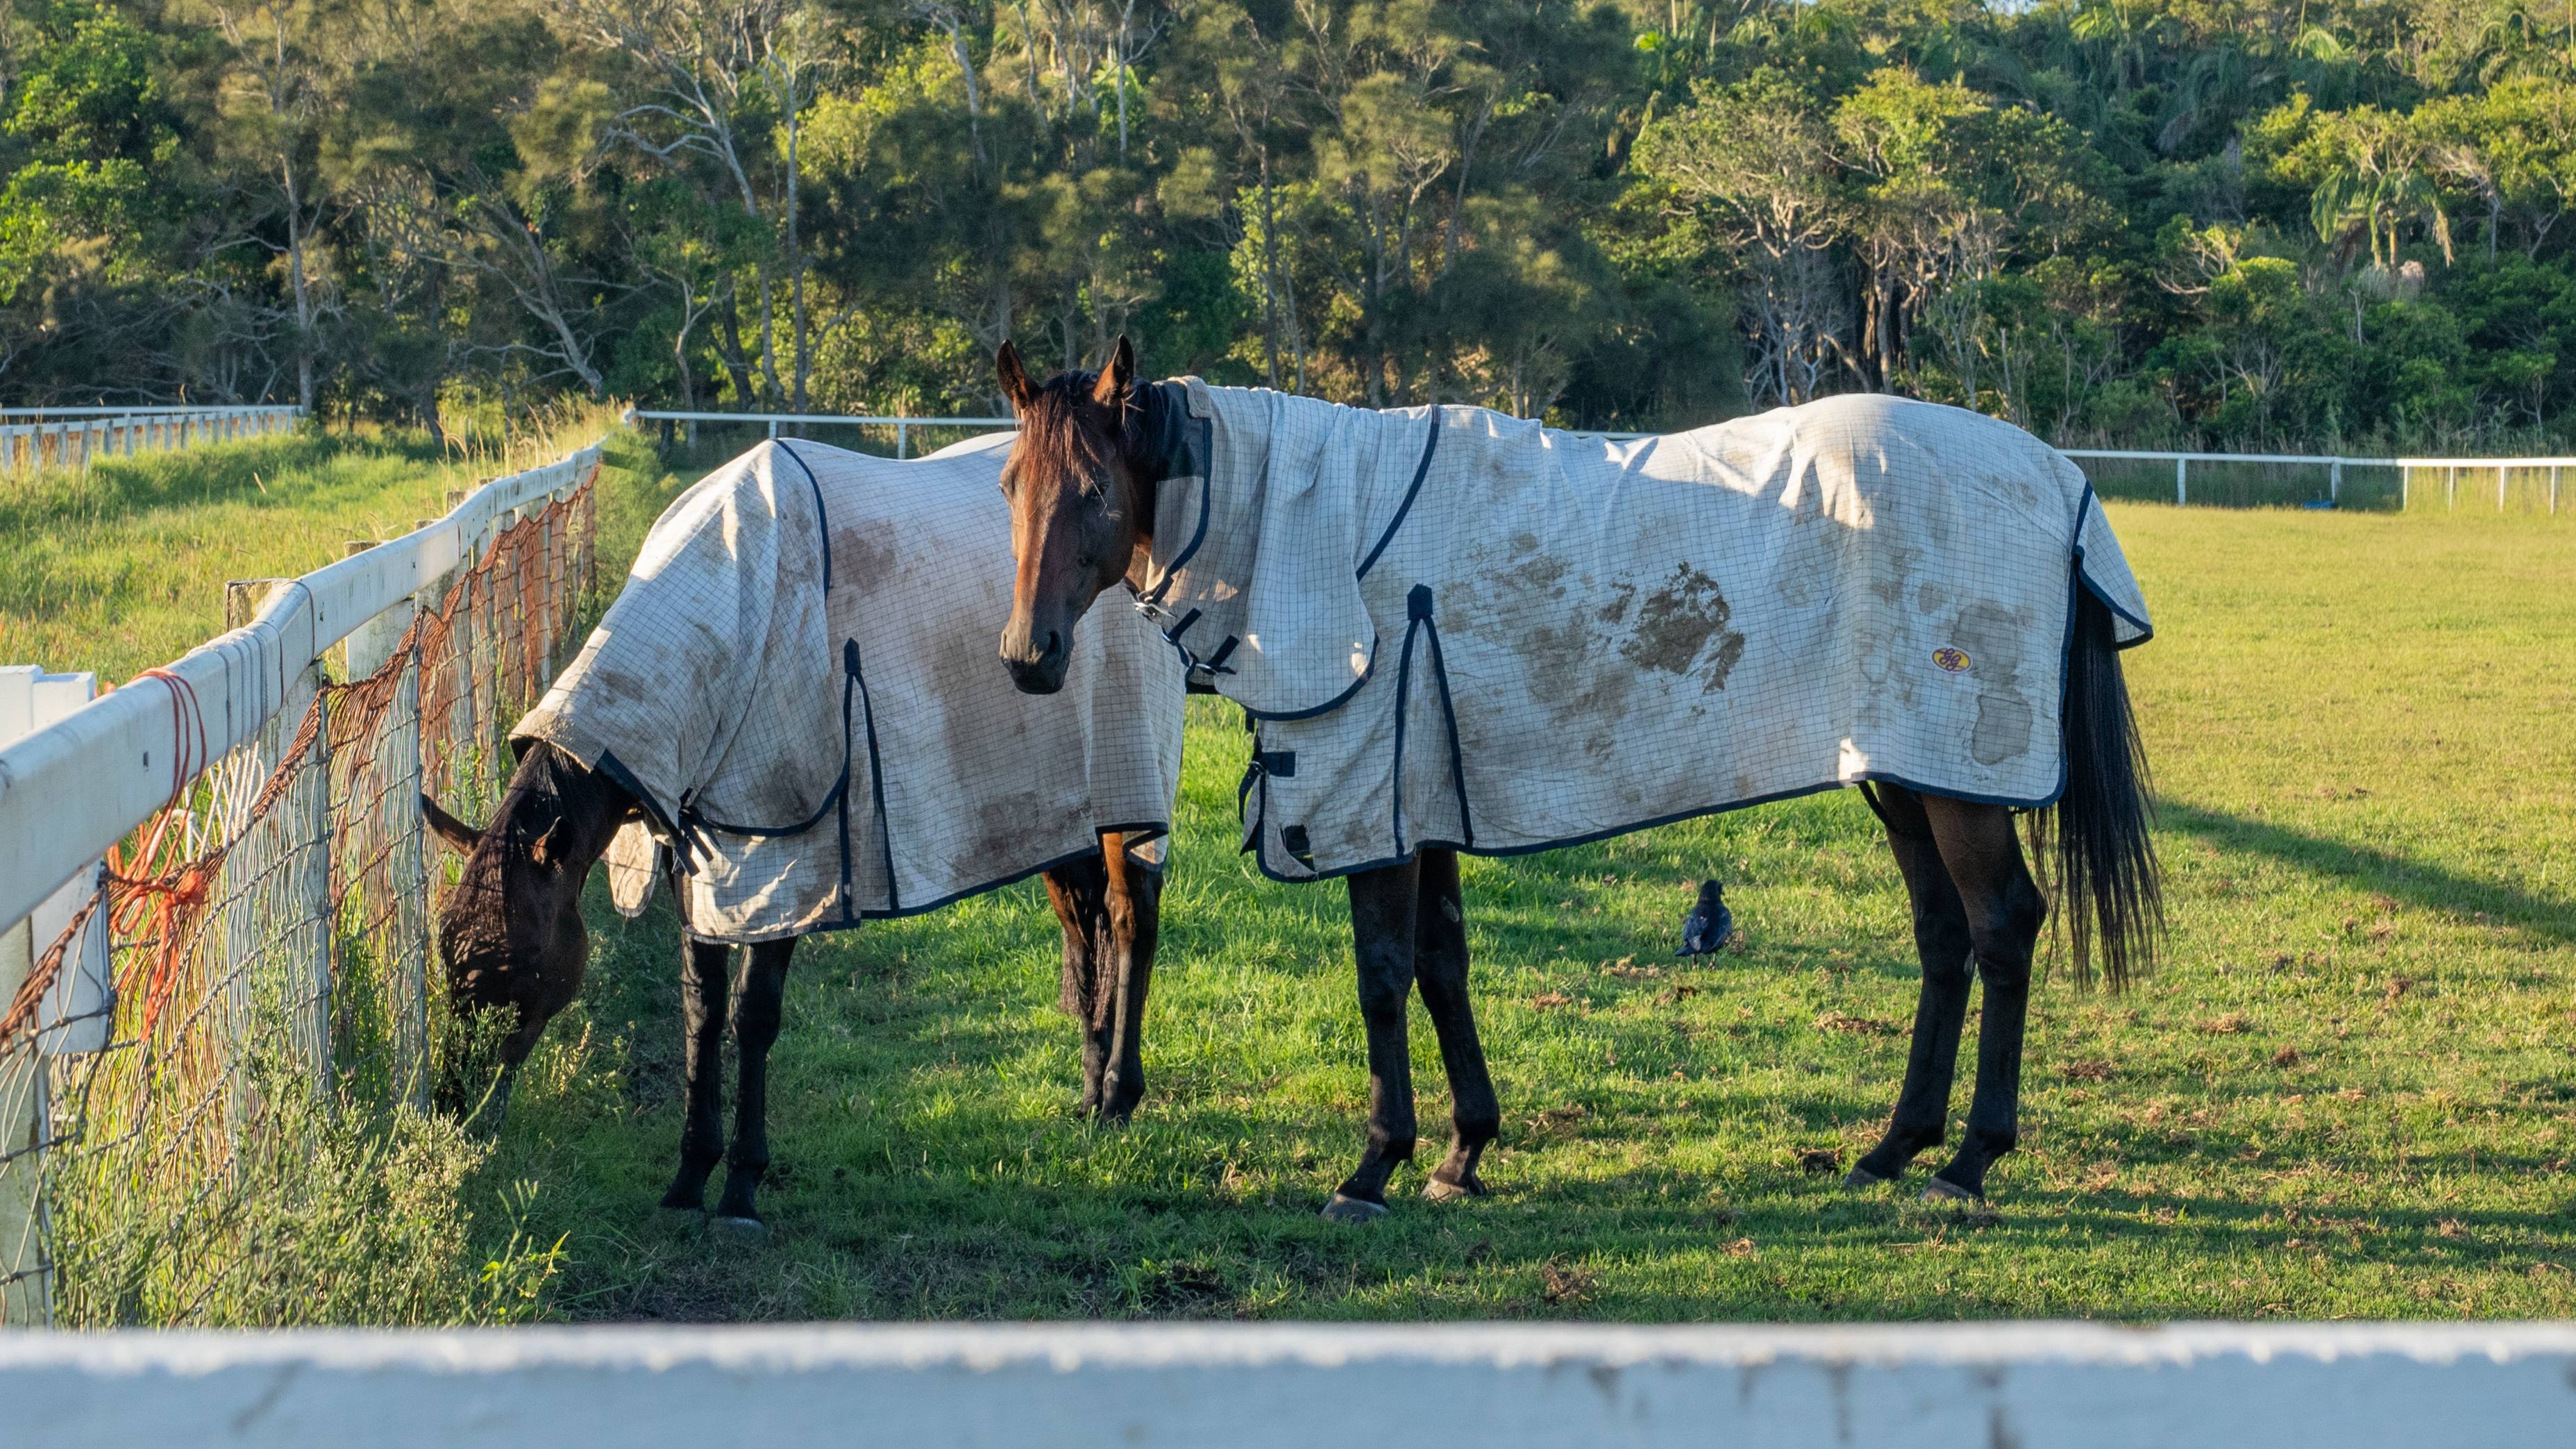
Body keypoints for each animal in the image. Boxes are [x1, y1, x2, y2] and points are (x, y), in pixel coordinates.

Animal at [425, 433, 1185, 1229]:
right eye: (446, 956)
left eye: (514, 965)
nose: (452, 1105)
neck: (730, 618)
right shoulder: (698, 861)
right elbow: (701, 1011)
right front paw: (689, 1174)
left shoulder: (791, 856)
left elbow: (753, 1016)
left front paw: (740, 1187)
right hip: (1058, 808)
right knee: (1082, 927)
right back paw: (1090, 1087)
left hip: (1129, 788)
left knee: (1130, 922)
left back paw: (1118, 1093)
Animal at [990, 336, 2160, 1211]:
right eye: (1007, 482)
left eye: (1091, 486)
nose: (1025, 655)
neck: (1317, 524)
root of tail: (2052, 470)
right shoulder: (1424, 792)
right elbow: (1440, 962)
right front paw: (1463, 1149)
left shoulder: (1372, 795)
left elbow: (1380, 972)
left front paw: (1372, 1165)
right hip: (1902, 777)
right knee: (1942, 935)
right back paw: (1892, 1146)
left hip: (1960, 787)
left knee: (2002, 925)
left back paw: (1967, 1160)